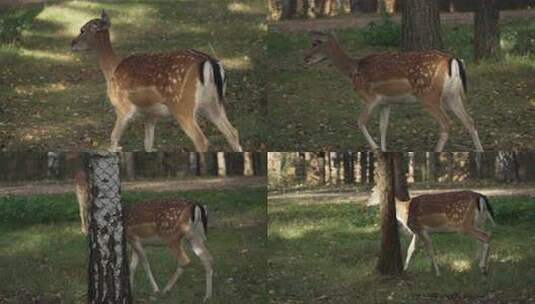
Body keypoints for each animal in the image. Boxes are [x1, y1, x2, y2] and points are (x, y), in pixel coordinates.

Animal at [70, 11, 242, 152]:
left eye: (82, 29)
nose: (71, 43)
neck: (113, 69)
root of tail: (209, 62)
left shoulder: (123, 107)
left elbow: (113, 139)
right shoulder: (150, 115)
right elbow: (148, 144)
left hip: (181, 105)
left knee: (201, 140)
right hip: (213, 103)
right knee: (232, 132)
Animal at [304, 30, 484, 152]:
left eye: (315, 43)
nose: (305, 58)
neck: (354, 71)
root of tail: (453, 60)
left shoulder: (369, 97)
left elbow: (361, 121)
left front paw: (376, 148)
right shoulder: (386, 103)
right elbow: (383, 127)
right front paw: (383, 150)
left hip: (429, 95)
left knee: (446, 122)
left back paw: (437, 151)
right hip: (452, 95)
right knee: (469, 121)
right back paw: (479, 151)